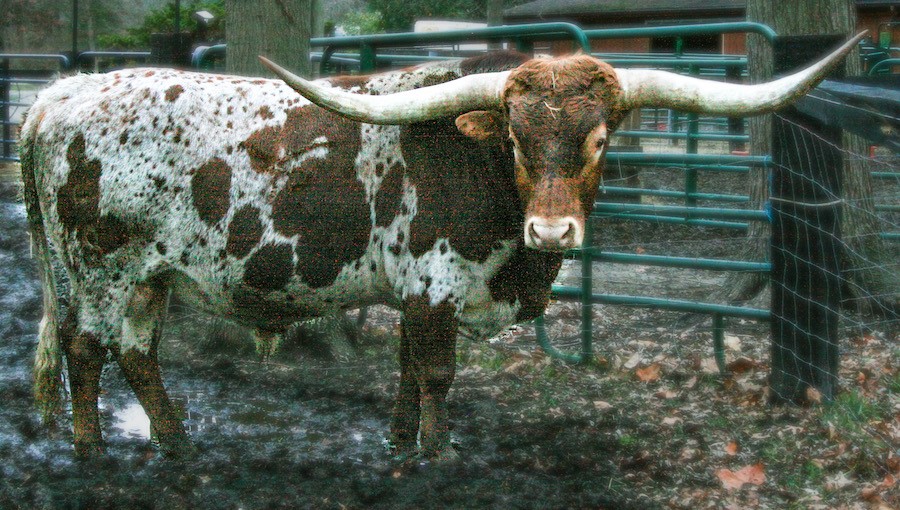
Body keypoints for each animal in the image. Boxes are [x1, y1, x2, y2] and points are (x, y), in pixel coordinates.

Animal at [21, 33, 862, 460]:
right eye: (516, 141)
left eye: (597, 141)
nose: (551, 230)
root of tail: (62, 96)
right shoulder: (435, 289)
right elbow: (435, 375)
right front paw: (437, 453)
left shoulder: (412, 294)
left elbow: (403, 371)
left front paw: (398, 446)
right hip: (98, 268)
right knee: (86, 352)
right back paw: (91, 452)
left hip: (149, 274)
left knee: (137, 353)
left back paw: (176, 441)